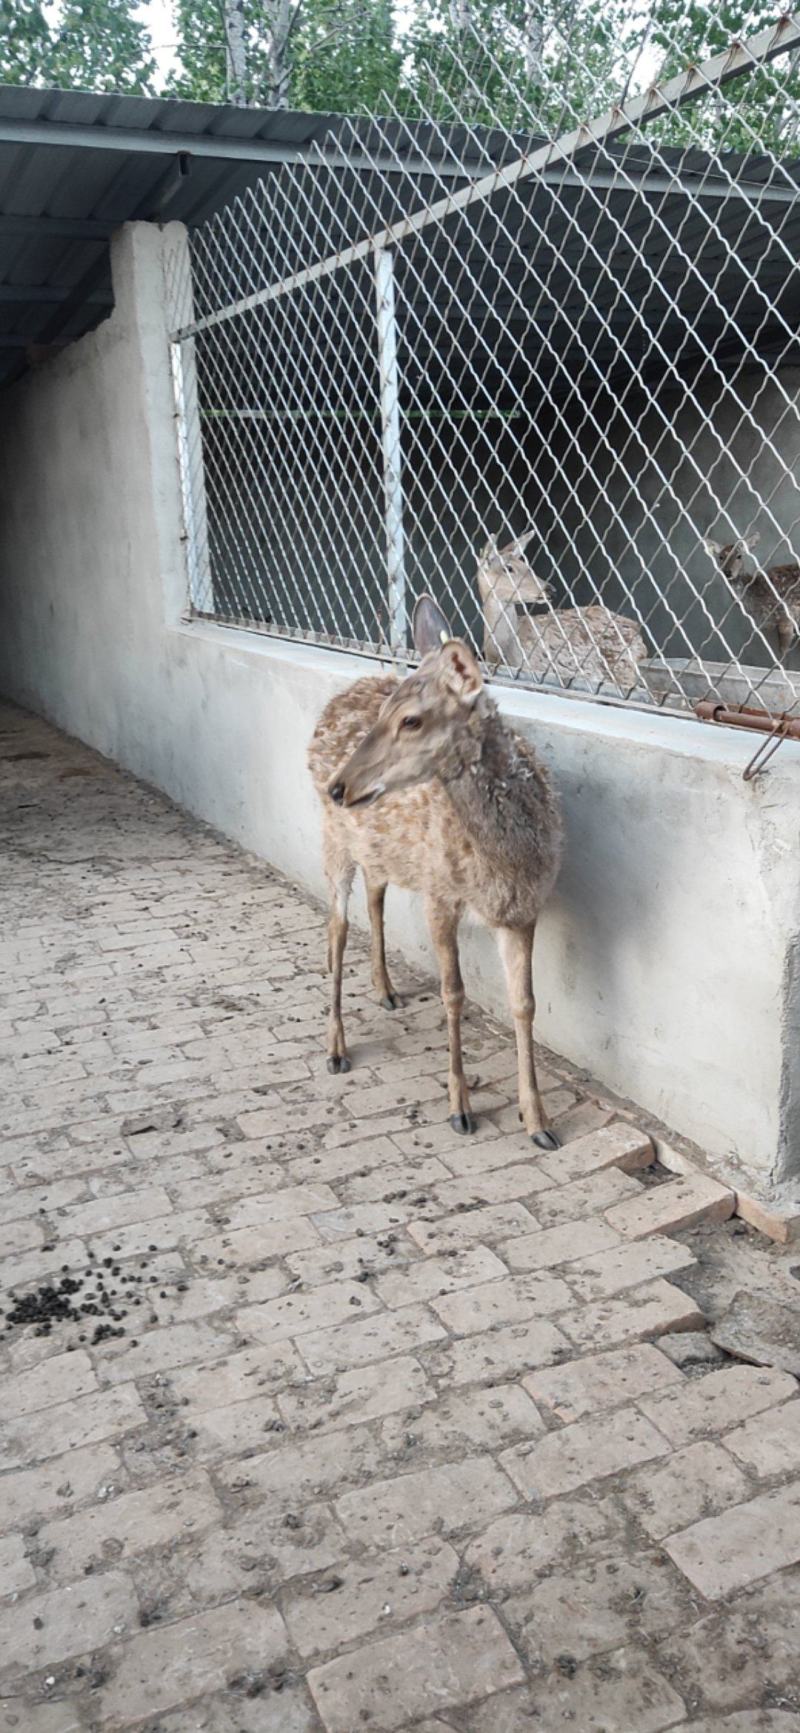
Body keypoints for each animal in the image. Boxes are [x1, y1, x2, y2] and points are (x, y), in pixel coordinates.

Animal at [308, 594, 564, 1150]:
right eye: (387, 712)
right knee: (336, 926)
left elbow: (525, 1003)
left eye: (411, 720)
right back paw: (335, 1047)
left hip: (378, 848)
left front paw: (538, 1121)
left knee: (374, 897)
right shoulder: (440, 894)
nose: (340, 786)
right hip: (333, 839)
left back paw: (385, 990)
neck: (508, 858)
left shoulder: (524, 907)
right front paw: (460, 1107)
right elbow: (454, 993)